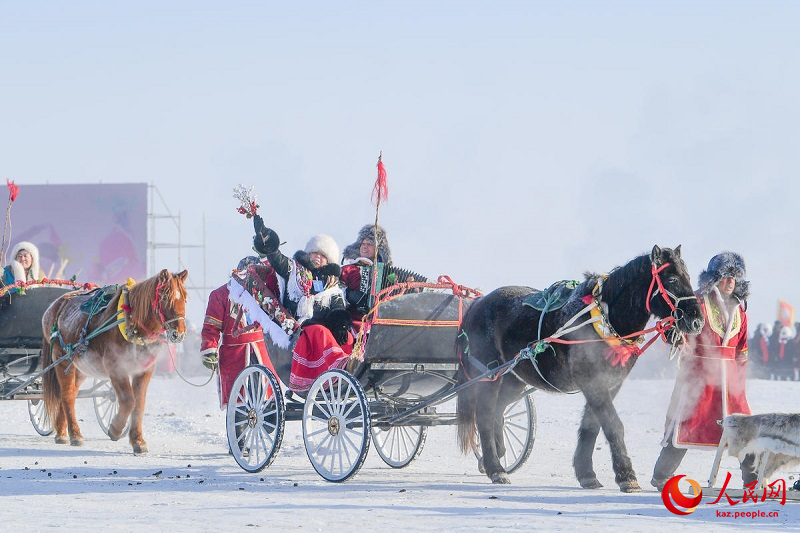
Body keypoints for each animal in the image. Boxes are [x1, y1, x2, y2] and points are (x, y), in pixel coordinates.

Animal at [41, 268, 188, 450]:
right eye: (165, 297)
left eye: (185, 297)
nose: (178, 334)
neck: (132, 324)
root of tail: (56, 305)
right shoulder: (116, 367)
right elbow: (128, 401)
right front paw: (115, 429)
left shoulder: (144, 370)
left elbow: (139, 403)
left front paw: (138, 440)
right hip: (62, 359)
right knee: (67, 395)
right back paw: (75, 433)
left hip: (81, 367)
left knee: (69, 394)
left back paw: (61, 432)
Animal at [460, 245, 704, 490]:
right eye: (672, 279)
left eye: (688, 276)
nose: (697, 321)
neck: (604, 320)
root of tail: (478, 303)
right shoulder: (593, 382)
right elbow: (613, 425)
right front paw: (627, 476)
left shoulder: (609, 384)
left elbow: (591, 427)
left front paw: (586, 473)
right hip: (488, 374)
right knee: (485, 414)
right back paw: (496, 468)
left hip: (514, 379)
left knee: (498, 412)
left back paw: (493, 457)